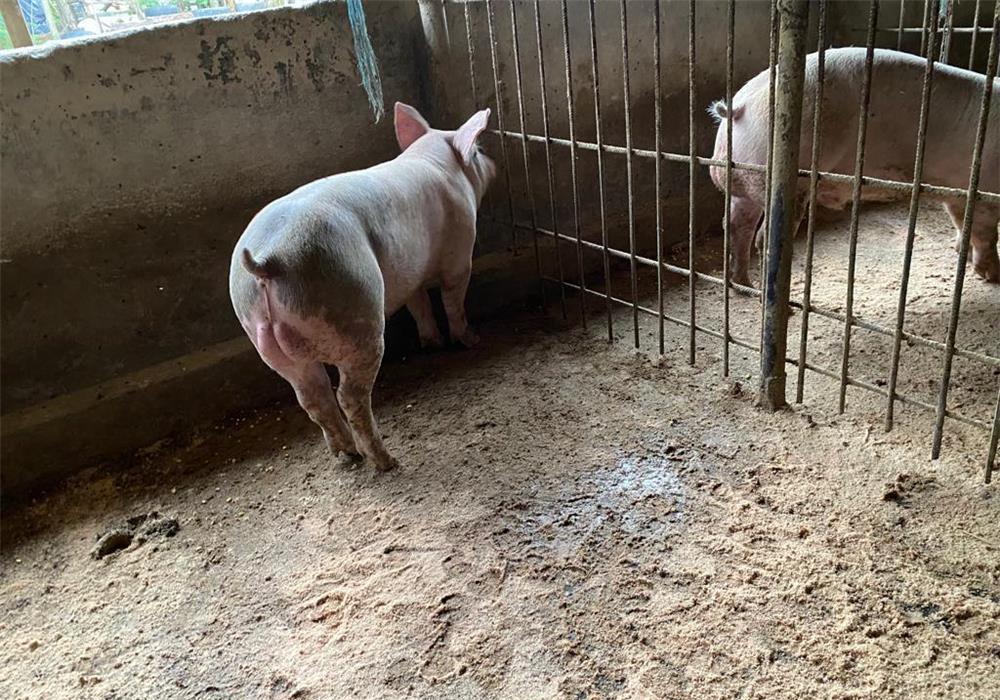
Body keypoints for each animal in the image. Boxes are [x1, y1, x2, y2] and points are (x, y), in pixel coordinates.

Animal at [229, 103, 495, 471]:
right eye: (478, 152)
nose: (494, 166)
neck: (432, 158)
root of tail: (271, 260)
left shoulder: (407, 274)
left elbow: (420, 306)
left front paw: (431, 343)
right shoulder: (460, 252)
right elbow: (452, 300)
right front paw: (469, 340)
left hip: (267, 342)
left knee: (313, 398)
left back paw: (347, 454)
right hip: (356, 311)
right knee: (350, 396)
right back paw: (386, 461)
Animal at [709, 47, 1000, 287]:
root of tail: (739, 107)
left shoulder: (956, 193)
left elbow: (963, 226)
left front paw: (965, 256)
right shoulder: (984, 191)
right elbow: (986, 233)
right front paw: (991, 276)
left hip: (742, 182)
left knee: (735, 225)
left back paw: (743, 285)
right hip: (786, 180)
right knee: (763, 238)